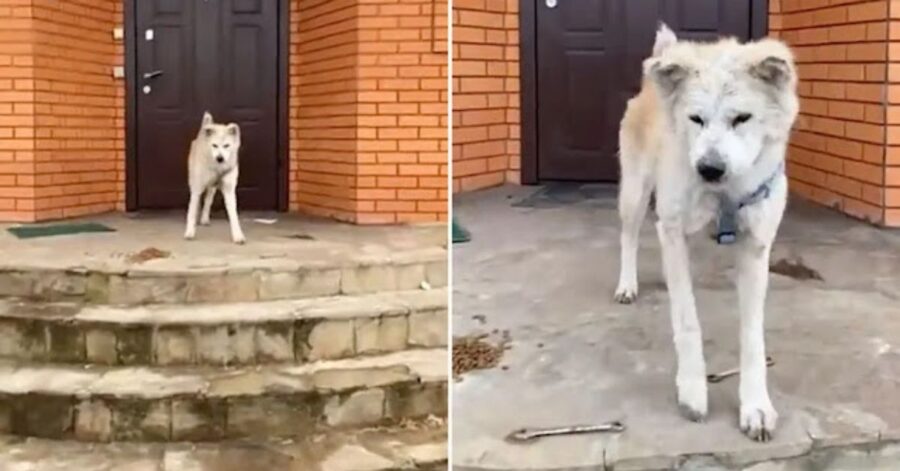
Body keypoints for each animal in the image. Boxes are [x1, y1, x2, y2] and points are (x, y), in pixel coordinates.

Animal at [184, 112, 246, 245]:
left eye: (227, 145)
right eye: (214, 145)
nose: (220, 158)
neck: (218, 168)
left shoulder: (229, 190)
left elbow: (233, 215)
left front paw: (238, 235)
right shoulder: (197, 188)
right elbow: (191, 211)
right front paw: (189, 232)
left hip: (212, 188)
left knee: (208, 201)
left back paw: (204, 218)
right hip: (194, 182)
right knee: (197, 201)